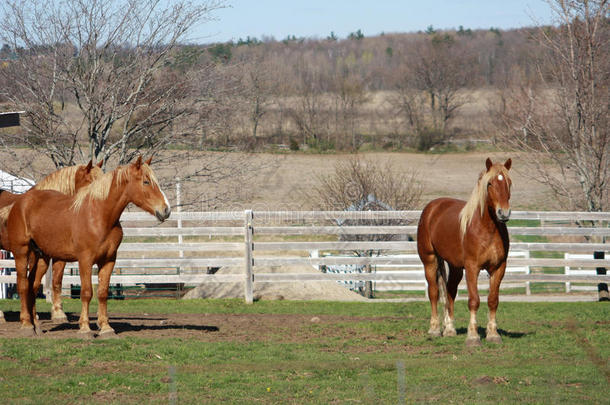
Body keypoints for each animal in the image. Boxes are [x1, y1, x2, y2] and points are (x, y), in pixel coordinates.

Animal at [416, 156, 510, 346]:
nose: (503, 213)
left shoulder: (499, 268)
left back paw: (449, 330)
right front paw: (473, 337)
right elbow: (474, 300)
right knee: (434, 293)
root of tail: (432, 207)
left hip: (455, 267)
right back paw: (435, 329)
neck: (487, 229)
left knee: (450, 292)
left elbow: (493, 301)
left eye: (509, 183)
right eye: (490, 183)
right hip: (429, 260)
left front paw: (493, 334)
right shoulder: (472, 268)